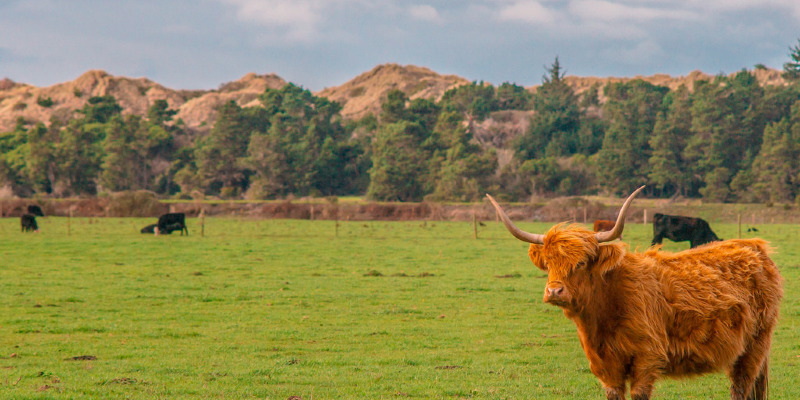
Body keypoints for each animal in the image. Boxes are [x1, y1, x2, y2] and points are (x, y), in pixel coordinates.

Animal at [488, 188, 780, 400]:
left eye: (581, 262)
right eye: (548, 263)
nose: (554, 291)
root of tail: (754, 246)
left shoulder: (647, 360)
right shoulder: (606, 369)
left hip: (754, 345)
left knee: (741, 387)